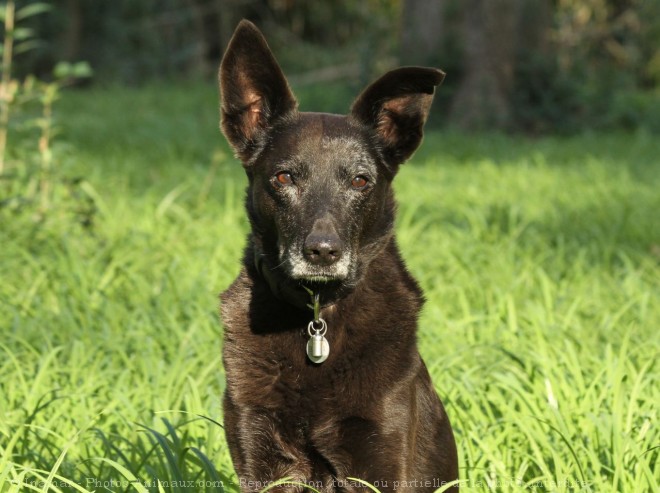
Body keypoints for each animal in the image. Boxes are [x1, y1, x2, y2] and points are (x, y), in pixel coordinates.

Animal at [219, 20, 456, 492]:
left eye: (361, 181)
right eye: (284, 177)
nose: (323, 252)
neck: (317, 313)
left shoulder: (380, 455)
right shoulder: (259, 456)